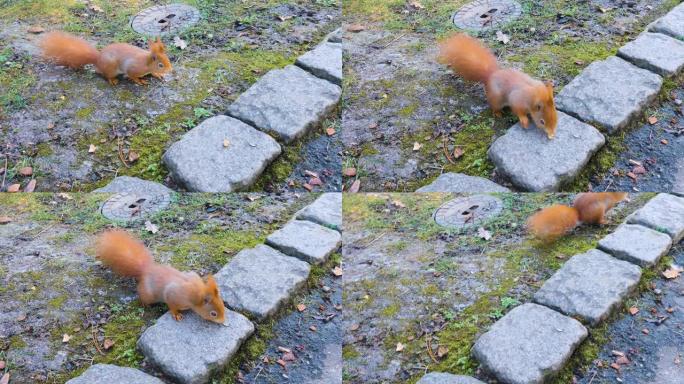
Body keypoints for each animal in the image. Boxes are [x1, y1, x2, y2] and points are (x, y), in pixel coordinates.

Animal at [39, 31, 172, 85]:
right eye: (161, 65)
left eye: (168, 59)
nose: (170, 69)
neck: (146, 63)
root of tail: (98, 59)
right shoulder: (133, 68)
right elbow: (132, 75)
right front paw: (140, 81)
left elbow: (152, 73)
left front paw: (158, 75)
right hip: (111, 68)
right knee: (106, 75)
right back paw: (112, 80)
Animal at [95, 230, 224, 322]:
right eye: (213, 314)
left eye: (223, 304)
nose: (223, 321)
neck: (196, 294)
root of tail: (146, 270)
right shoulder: (174, 295)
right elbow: (171, 305)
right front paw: (176, 314)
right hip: (148, 294)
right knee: (142, 296)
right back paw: (145, 305)